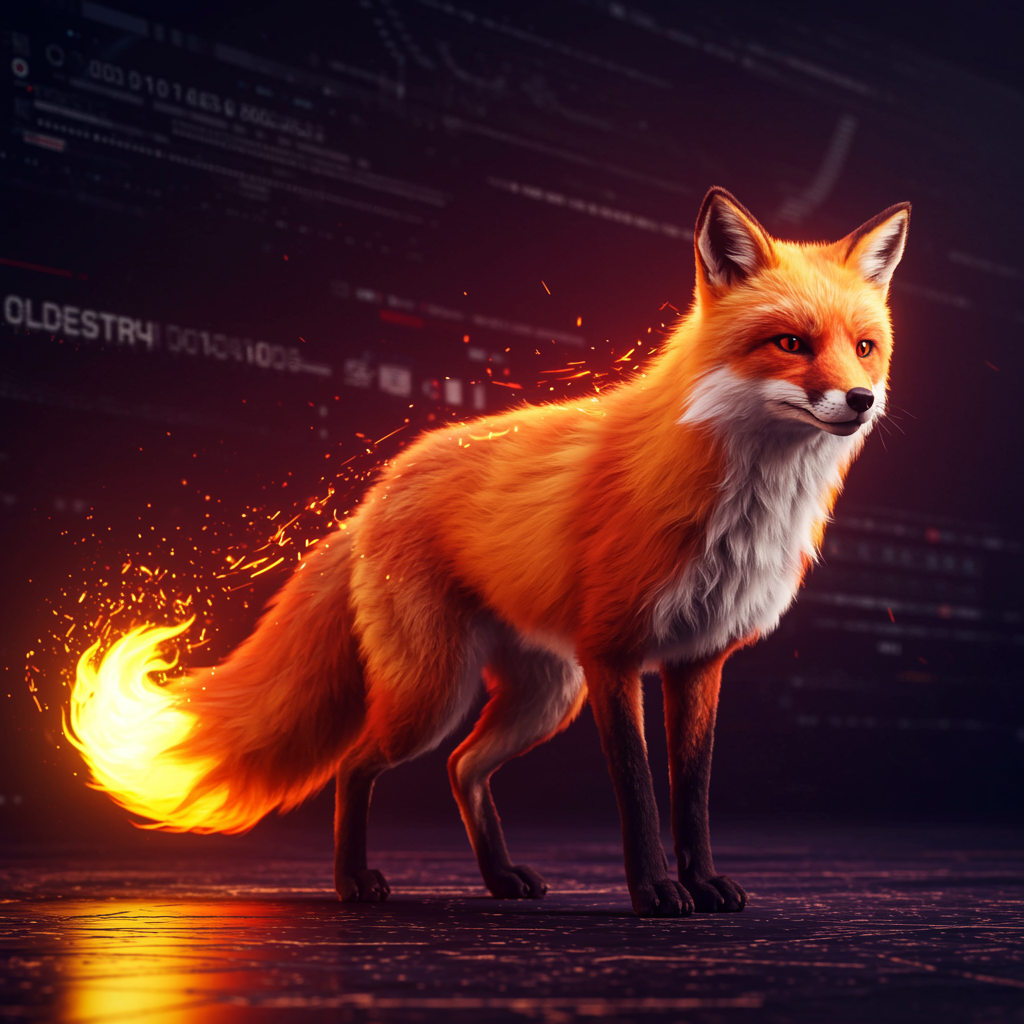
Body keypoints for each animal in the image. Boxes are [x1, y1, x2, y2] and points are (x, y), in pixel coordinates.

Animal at [68, 187, 909, 918]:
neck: (745, 505)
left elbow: (693, 795)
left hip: (543, 694)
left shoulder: (699, 660)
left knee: (461, 767)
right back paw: (352, 884)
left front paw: (702, 885)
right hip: (437, 692)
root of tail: (375, 494)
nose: (861, 400)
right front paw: (655, 893)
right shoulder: (614, 655)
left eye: (865, 348)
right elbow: (638, 792)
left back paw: (500, 877)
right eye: (791, 344)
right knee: (356, 764)